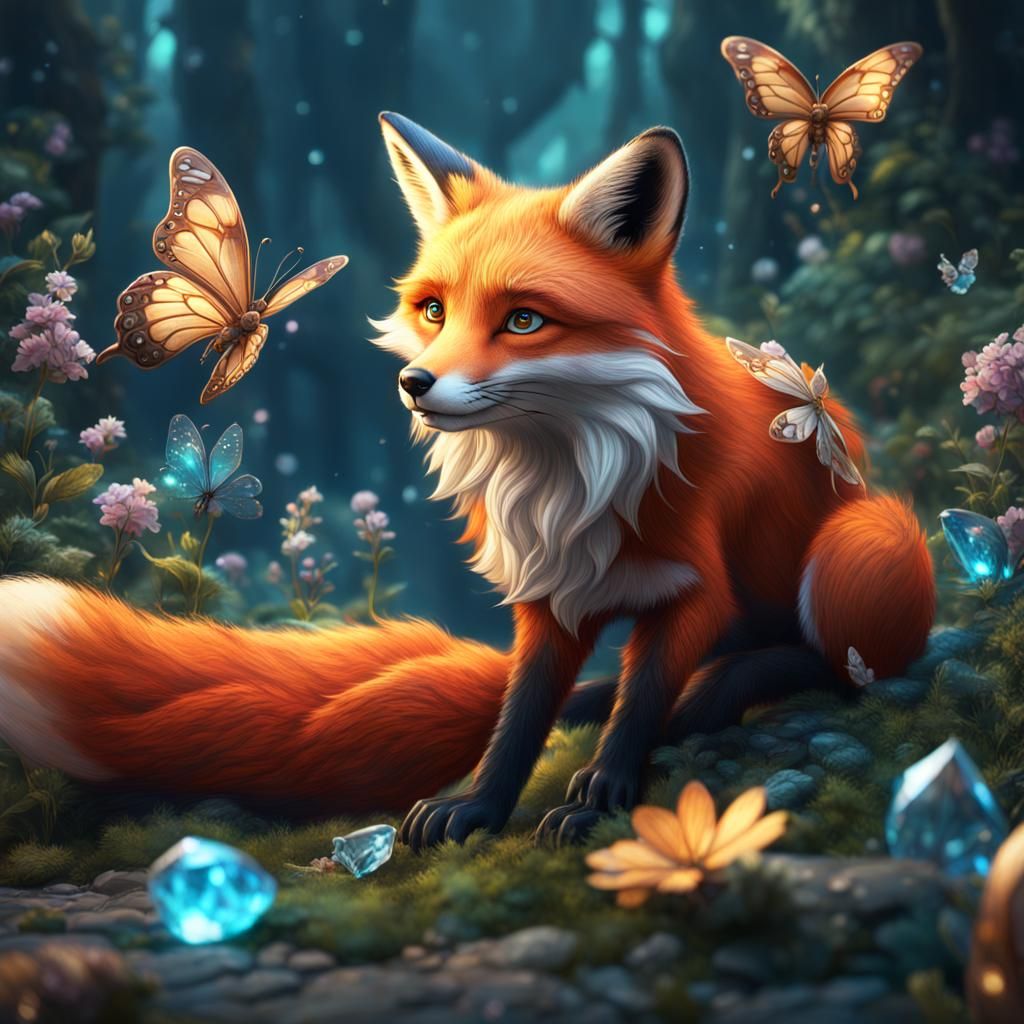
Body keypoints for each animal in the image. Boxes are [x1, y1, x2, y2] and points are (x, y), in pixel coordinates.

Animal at [0, 113, 935, 850]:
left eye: (523, 319)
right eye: (434, 309)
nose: (414, 384)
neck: (569, 478)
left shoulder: (694, 588)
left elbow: (642, 706)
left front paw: (603, 792)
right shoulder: (549, 595)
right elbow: (518, 716)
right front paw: (481, 805)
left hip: (856, 546)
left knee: (840, 664)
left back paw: (727, 688)